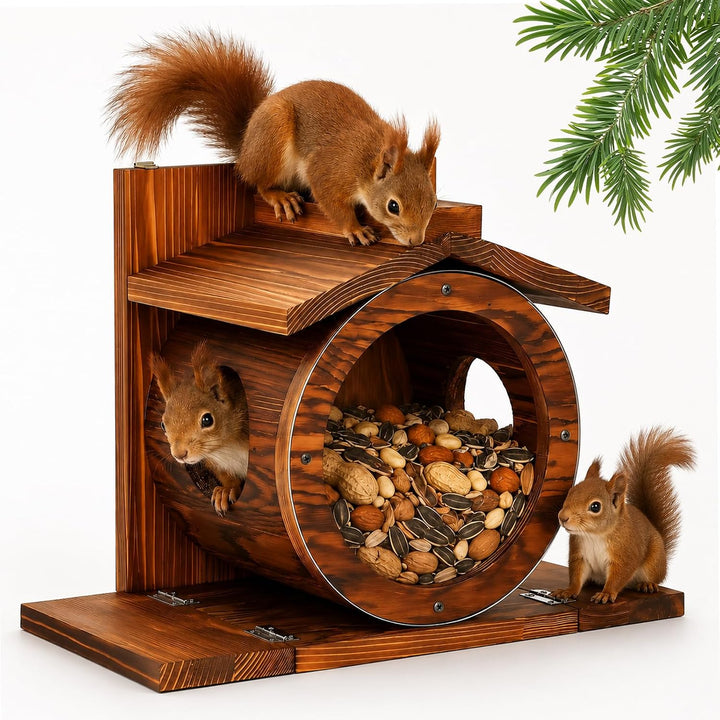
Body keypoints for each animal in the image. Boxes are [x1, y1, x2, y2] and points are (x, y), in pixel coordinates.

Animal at [107, 30, 440, 247]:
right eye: (393, 206)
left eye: (434, 201)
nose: (416, 241)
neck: (366, 162)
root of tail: (245, 146)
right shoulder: (330, 171)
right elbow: (333, 203)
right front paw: (355, 228)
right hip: (272, 138)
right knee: (257, 182)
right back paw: (281, 197)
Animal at [150, 341, 249, 516]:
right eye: (162, 425)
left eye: (207, 420)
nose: (179, 454)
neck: (225, 447)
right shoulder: (217, 465)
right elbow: (229, 478)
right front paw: (225, 491)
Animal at [552, 427, 695, 604]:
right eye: (571, 491)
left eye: (595, 506)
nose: (562, 517)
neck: (595, 536)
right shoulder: (580, 555)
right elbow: (576, 576)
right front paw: (568, 591)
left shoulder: (625, 554)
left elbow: (618, 576)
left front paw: (606, 593)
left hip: (654, 562)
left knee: (656, 577)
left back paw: (647, 584)